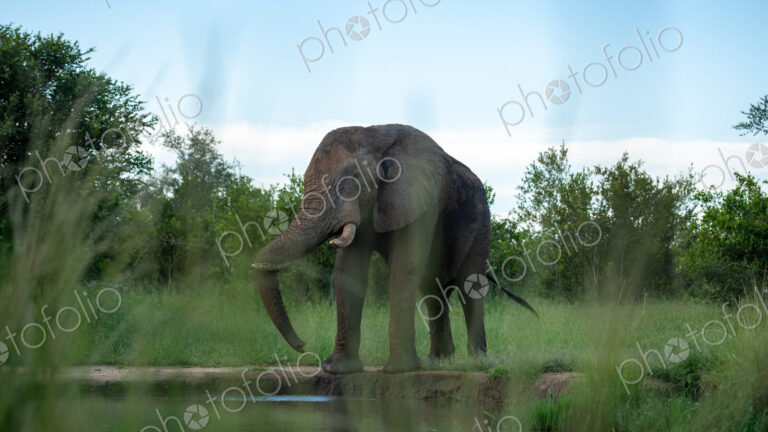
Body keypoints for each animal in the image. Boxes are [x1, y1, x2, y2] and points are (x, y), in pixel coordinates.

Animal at [252, 124, 537, 373]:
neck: (375, 138)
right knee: (432, 289)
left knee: (470, 285)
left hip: (481, 223)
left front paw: (399, 370)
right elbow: (349, 270)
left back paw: (477, 362)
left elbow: (405, 265)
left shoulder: (419, 197)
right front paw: (338, 370)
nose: (302, 345)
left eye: (352, 179)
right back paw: (438, 362)